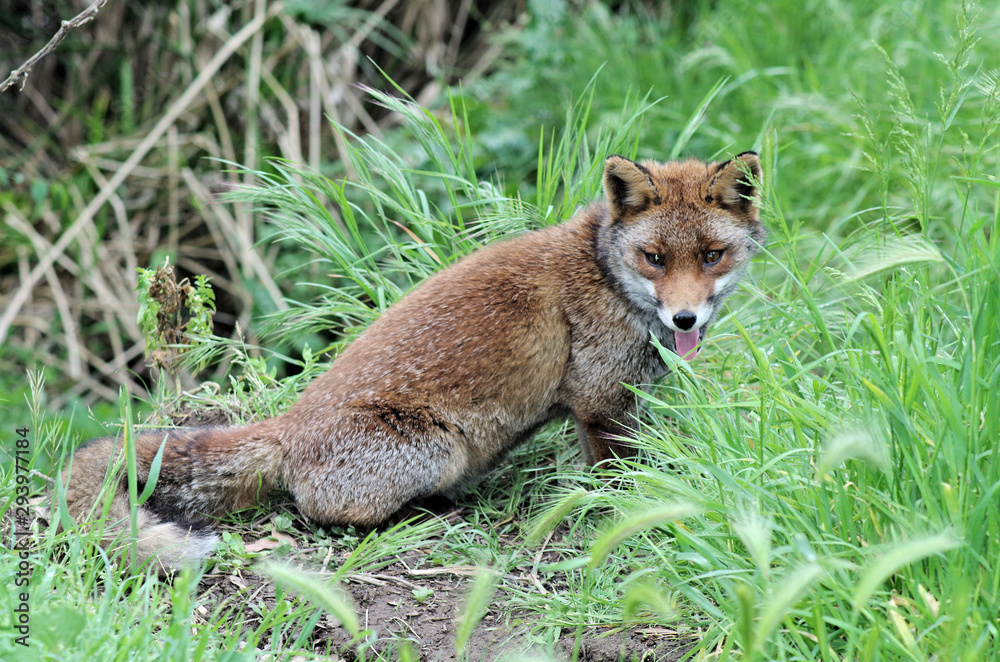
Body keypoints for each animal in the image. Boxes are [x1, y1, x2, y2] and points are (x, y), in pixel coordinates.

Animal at [60, 152, 764, 571]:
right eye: (654, 259)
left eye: (711, 256)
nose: (684, 320)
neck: (605, 274)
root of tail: (285, 428)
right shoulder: (598, 397)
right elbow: (618, 476)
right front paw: (626, 508)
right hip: (436, 447)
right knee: (322, 511)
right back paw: (428, 514)